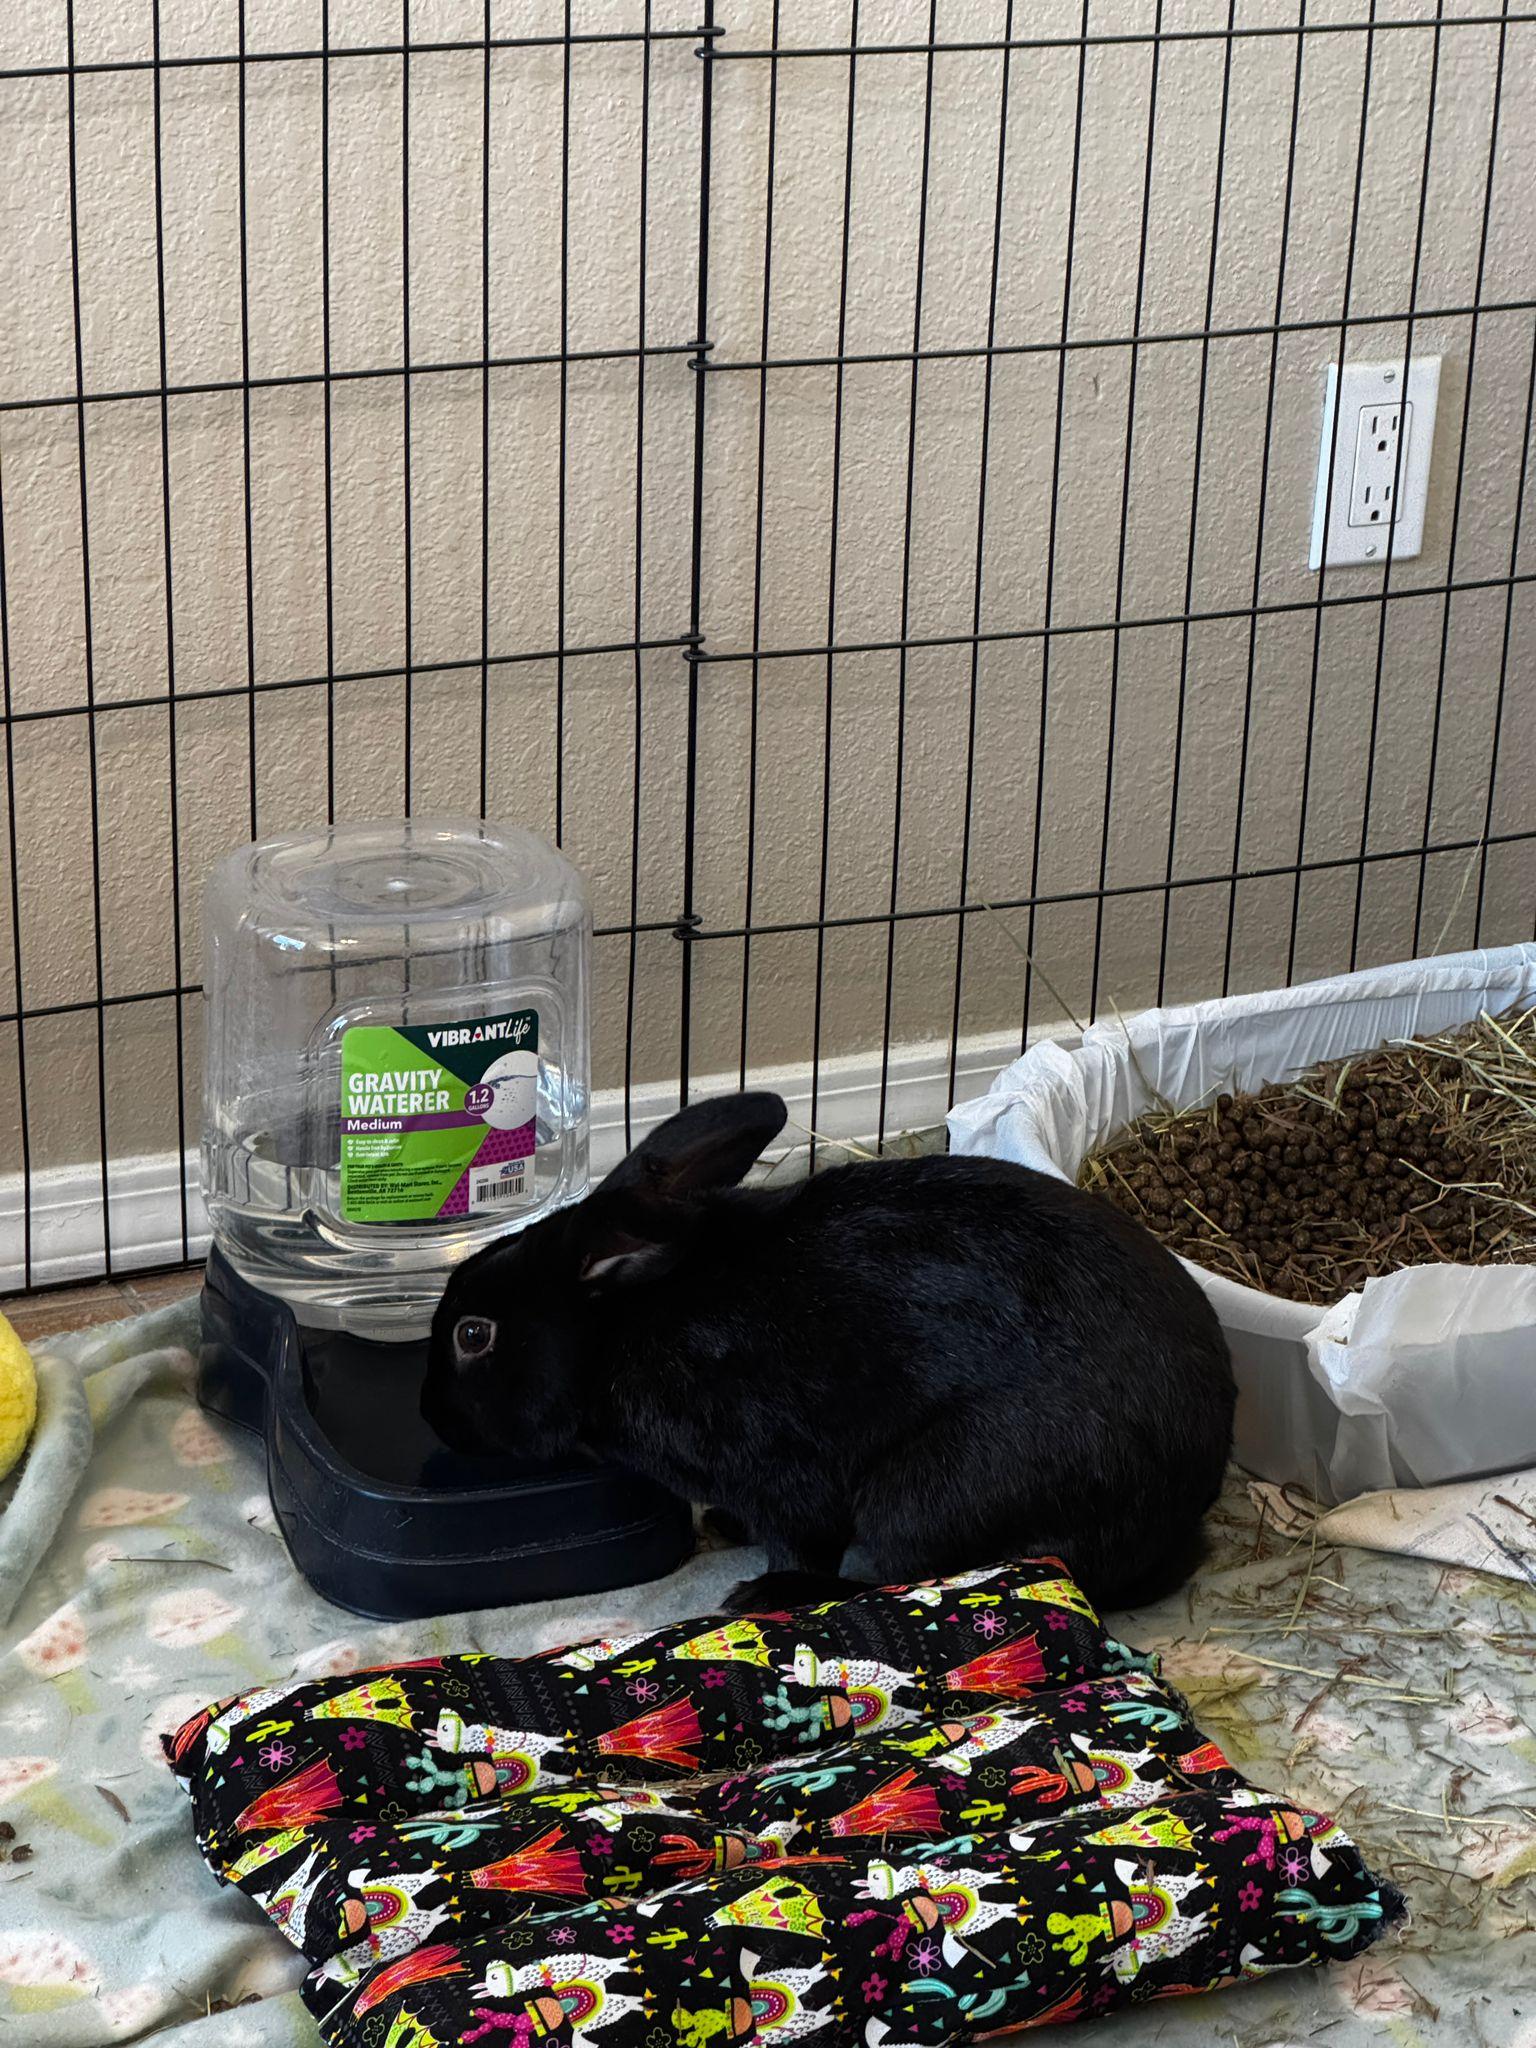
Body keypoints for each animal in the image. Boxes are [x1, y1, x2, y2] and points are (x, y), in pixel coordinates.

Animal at [421, 1091, 1236, 1616]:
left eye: (473, 1335)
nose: (432, 1419)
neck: (615, 1335)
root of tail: (1179, 1511)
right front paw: (728, 1527)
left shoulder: (779, 1467)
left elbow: (801, 1537)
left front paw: (760, 1585)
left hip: (926, 1494)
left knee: (916, 1573)